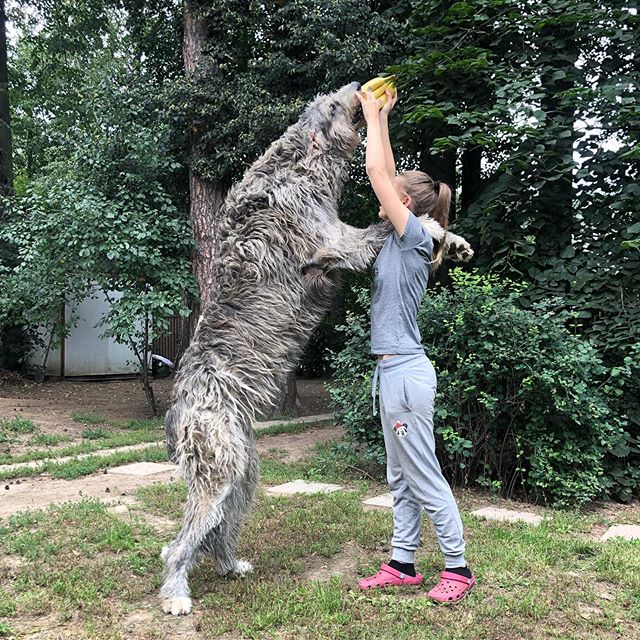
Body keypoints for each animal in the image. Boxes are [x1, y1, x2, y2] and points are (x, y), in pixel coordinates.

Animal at [159, 81, 470, 616]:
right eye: (334, 104)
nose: (359, 87)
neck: (297, 165)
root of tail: (178, 410)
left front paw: (457, 240)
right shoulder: (335, 241)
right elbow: (384, 226)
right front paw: (431, 229)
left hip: (244, 473)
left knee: (217, 529)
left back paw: (229, 565)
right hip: (217, 470)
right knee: (181, 541)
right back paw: (177, 593)